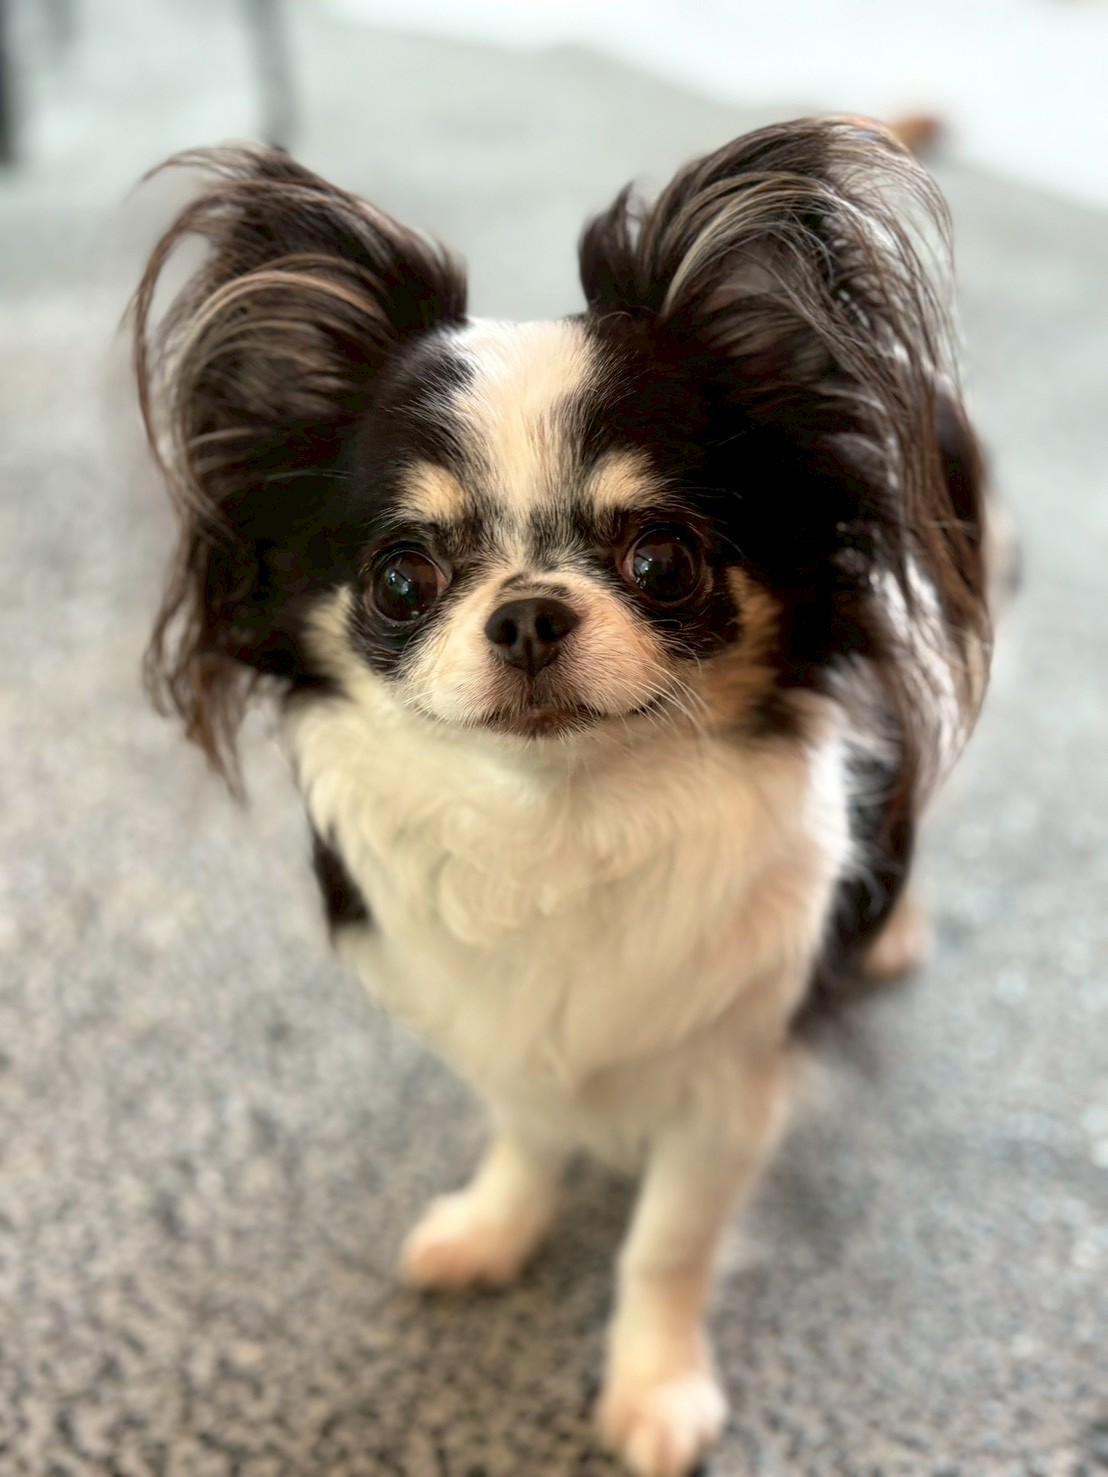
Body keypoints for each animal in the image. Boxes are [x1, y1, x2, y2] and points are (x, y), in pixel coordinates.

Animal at [132, 118, 993, 1477]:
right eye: (402, 578)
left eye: (662, 560)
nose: (529, 611)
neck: (560, 821)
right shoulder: (502, 1030)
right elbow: (526, 1133)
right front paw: (494, 1229)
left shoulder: (729, 1087)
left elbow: (666, 1245)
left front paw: (654, 1390)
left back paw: (893, 930)